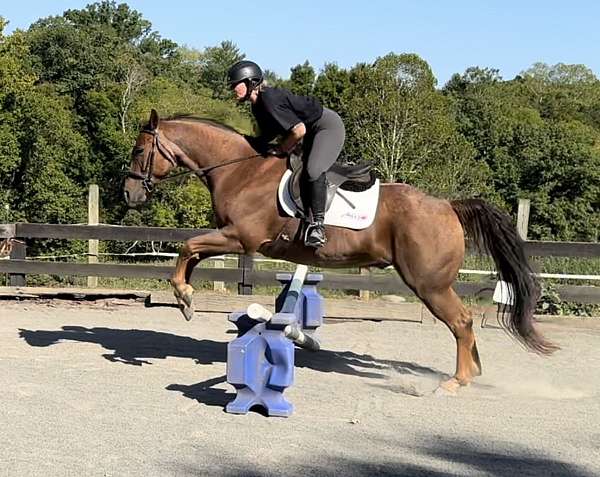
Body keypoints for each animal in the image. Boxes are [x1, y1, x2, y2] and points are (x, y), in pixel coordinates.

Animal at [123, 109, 556, 394]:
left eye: (139, 151)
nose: (128, 194)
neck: (239, 170)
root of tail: (449, 206)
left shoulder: (240, 238)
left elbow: (188, 247)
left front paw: (184, 295)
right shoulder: (232, 238)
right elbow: (192, 254)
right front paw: (185, 299)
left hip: (428, 284)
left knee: (462, 321)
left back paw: (458, 380)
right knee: (462, 323)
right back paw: (474, 373)